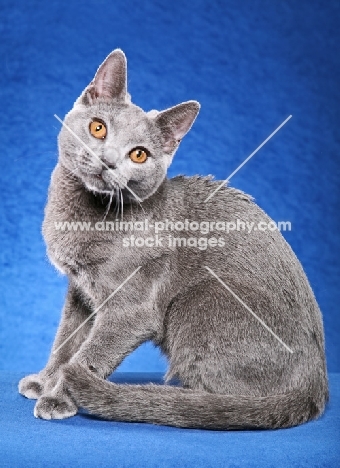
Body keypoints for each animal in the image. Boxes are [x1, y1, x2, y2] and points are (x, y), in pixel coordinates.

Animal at [19, 49, 330, 430]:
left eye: (138, 154)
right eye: (98, 127)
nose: (108, 161)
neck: (84, 214)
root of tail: (317, 383)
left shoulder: (131, 310)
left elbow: (89, 352)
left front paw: (59, 395)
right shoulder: (80, 292)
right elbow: (66, 339)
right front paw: (44, 380)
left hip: (198, 300)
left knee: (223, 400)